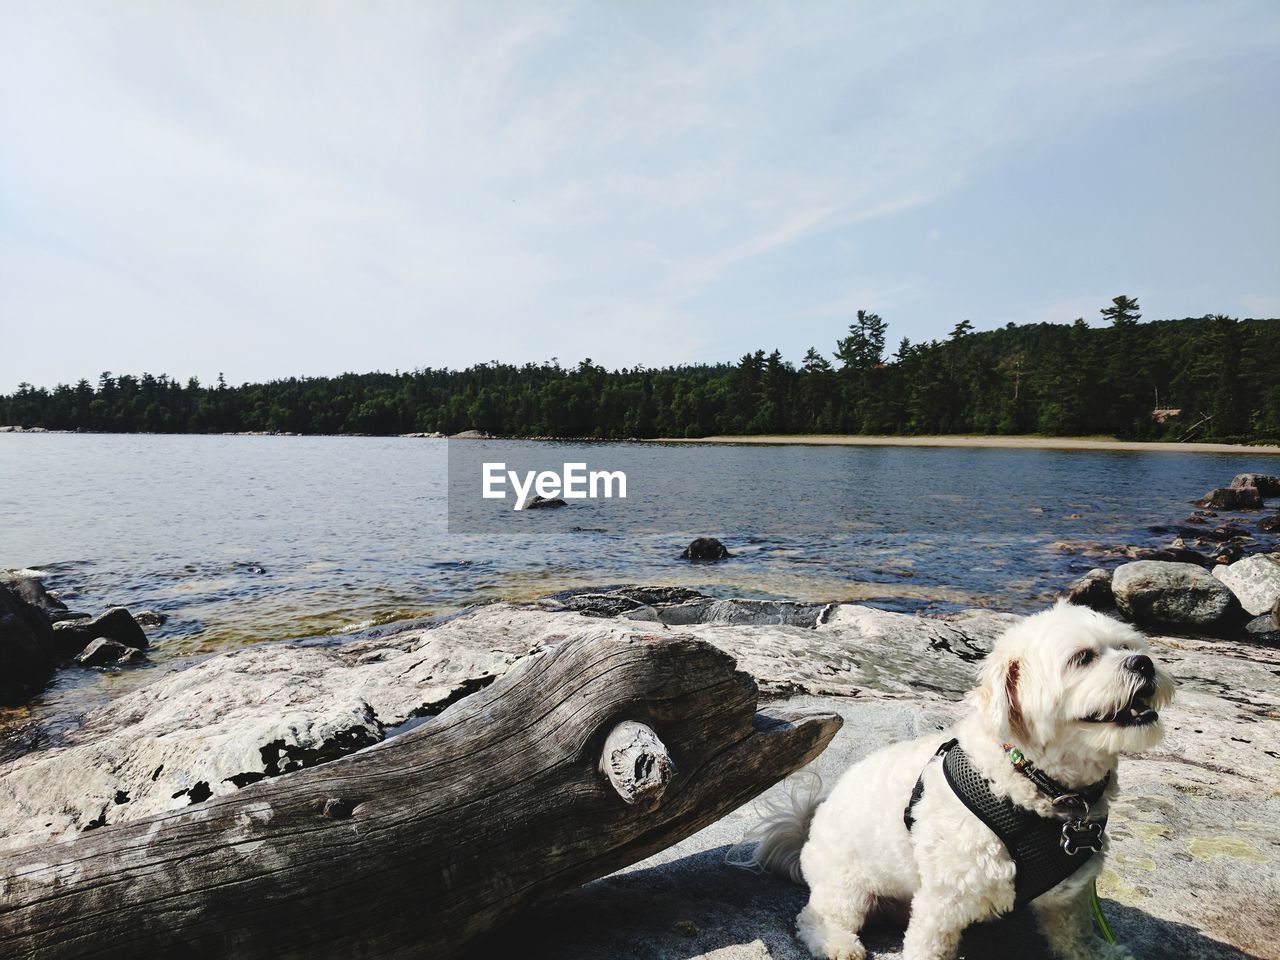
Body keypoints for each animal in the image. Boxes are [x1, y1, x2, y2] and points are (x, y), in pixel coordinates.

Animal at [747, 604, 1177, 960]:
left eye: (1127, 645)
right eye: (1082, 658)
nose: (1144, 663)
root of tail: (808, 824)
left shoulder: (1070, 895)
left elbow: (1075, 934)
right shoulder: (945, 897)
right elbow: (930, 945)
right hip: (846, 885)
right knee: (818, 917)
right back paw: (837, 944)